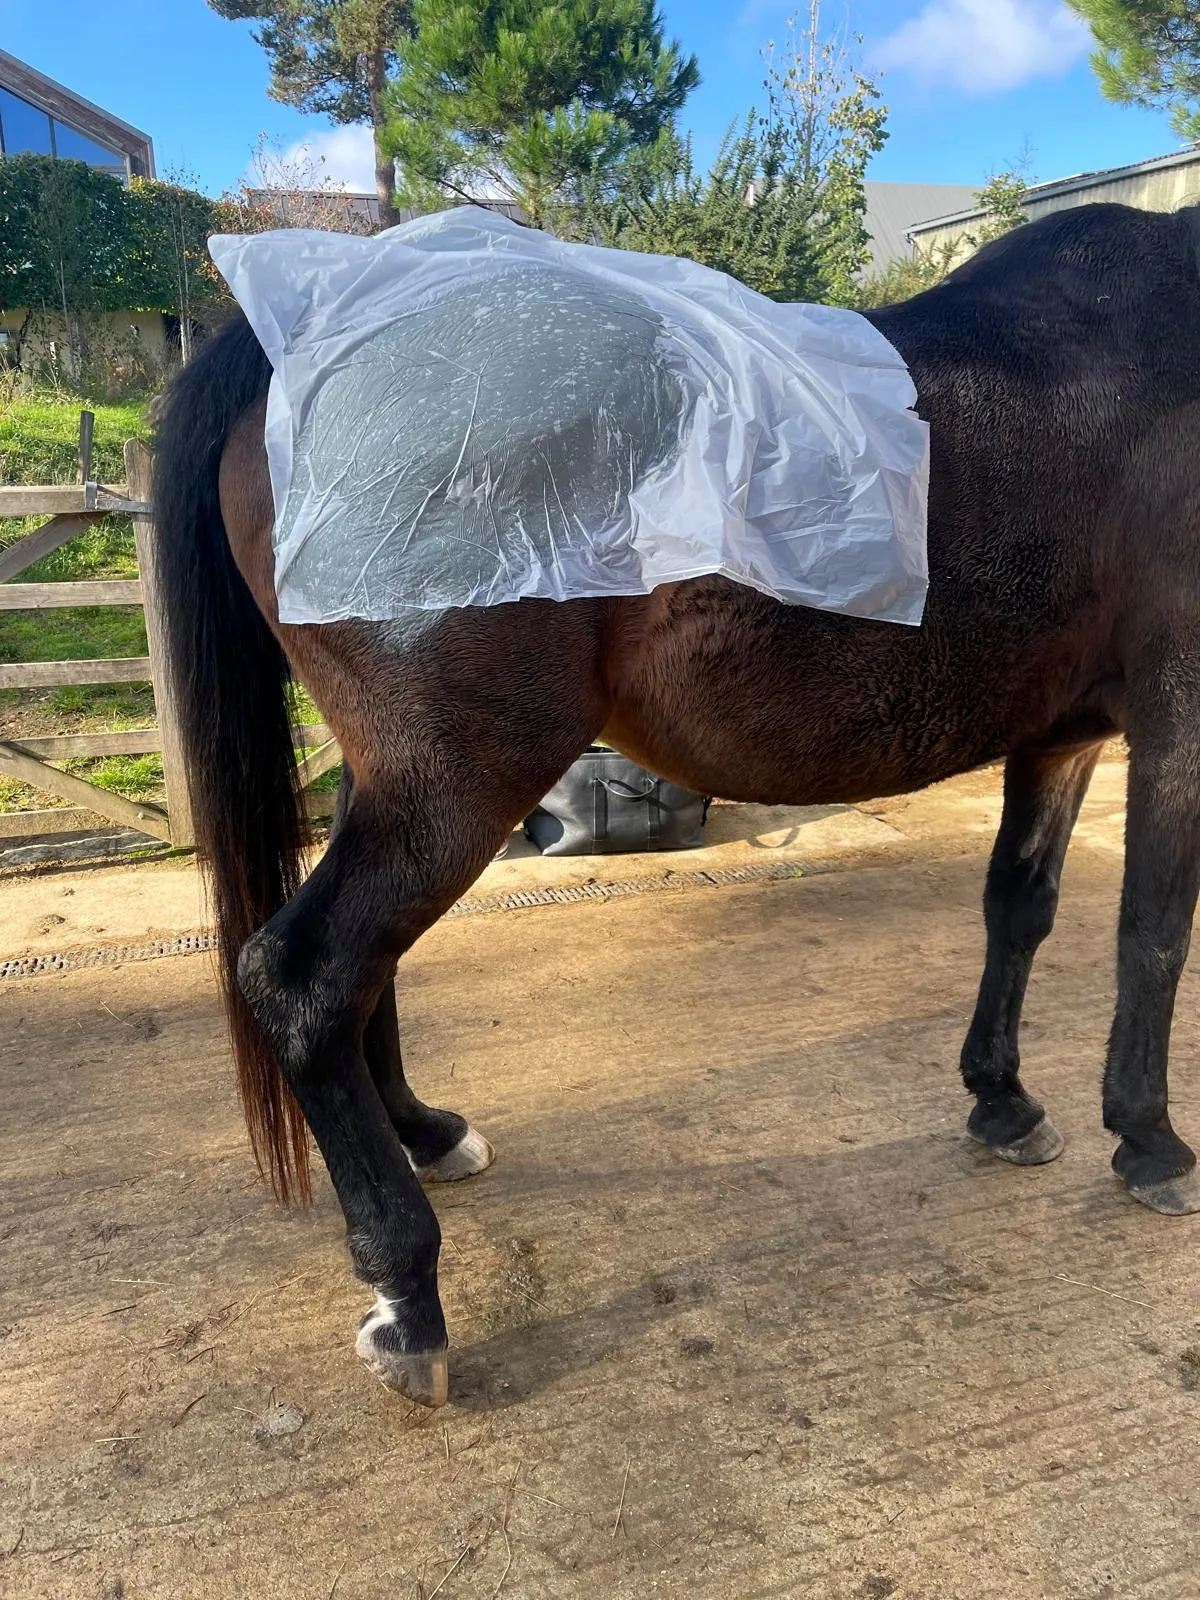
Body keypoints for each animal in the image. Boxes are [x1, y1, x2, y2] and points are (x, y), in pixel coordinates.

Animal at [154, 201, 1200, 1409]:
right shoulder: (1179, 709)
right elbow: (1153, 930)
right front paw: (1150, 1139)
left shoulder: (1062, 734)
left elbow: (1020, 910)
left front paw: (1004, 1099)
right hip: (453, 784)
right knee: (307, 980)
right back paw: (408, 1296)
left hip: (401, 785)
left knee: (367, 976)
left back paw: (429, 1134)